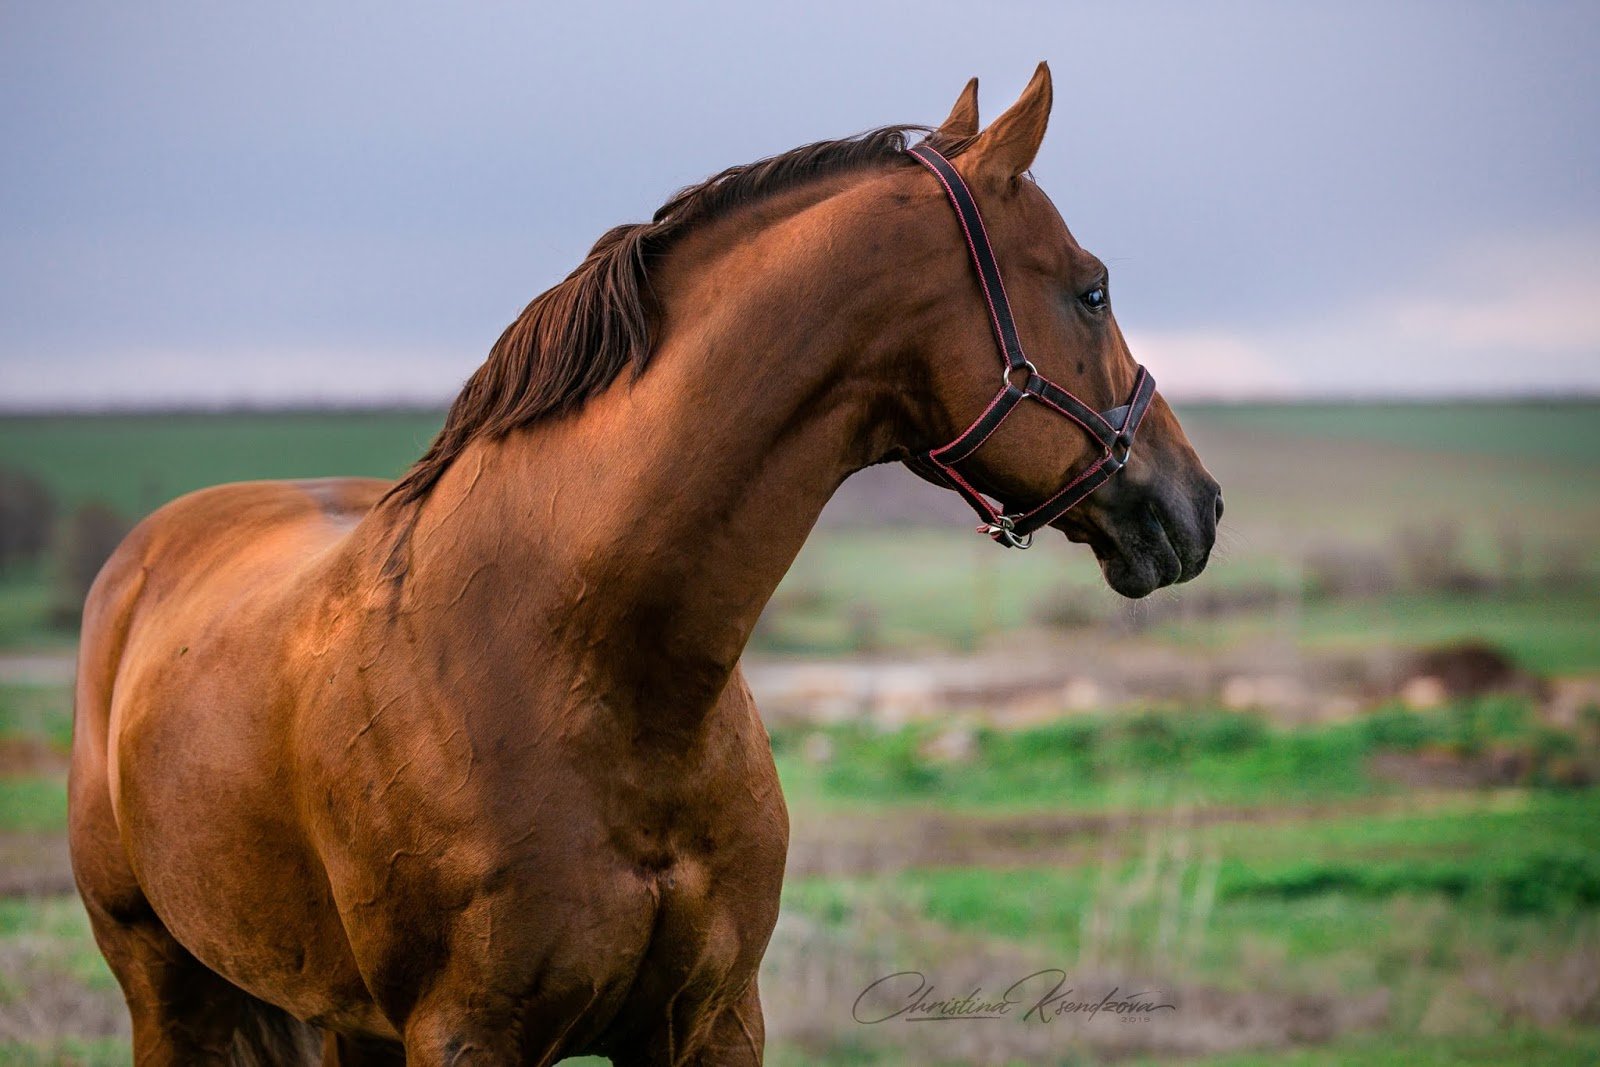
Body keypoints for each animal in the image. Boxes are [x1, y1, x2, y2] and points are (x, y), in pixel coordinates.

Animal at [72, 64, 1222, 1062]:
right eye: (1091, 290)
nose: (1198, 502)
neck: (573, 662)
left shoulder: (712, 1018)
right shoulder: (463, 1032)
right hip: (166, 987)